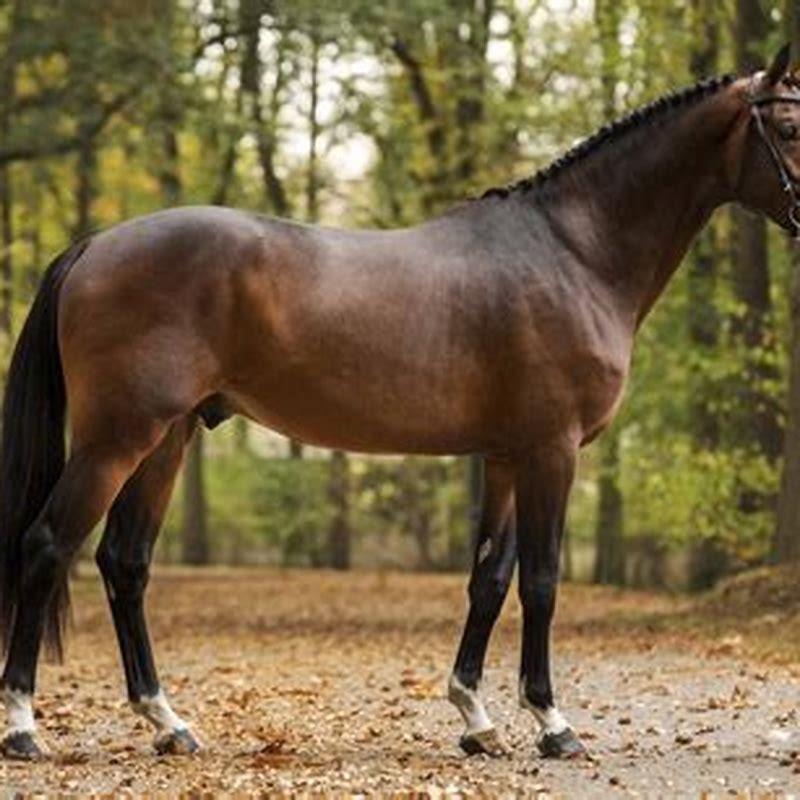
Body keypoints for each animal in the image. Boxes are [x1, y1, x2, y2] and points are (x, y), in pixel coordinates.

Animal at [0, 45, 798, 762]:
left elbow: (490, 578)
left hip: (166, 439)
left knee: (124, 563)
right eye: (789, 127)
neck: (573, 253)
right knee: (46, 546)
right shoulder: (552, 450)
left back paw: (168, 723)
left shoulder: (506, 456)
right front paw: (552, 723)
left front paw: (476, 720)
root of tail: (97, 244)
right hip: (116, 440)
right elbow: (541, 581)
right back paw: (24, 728)